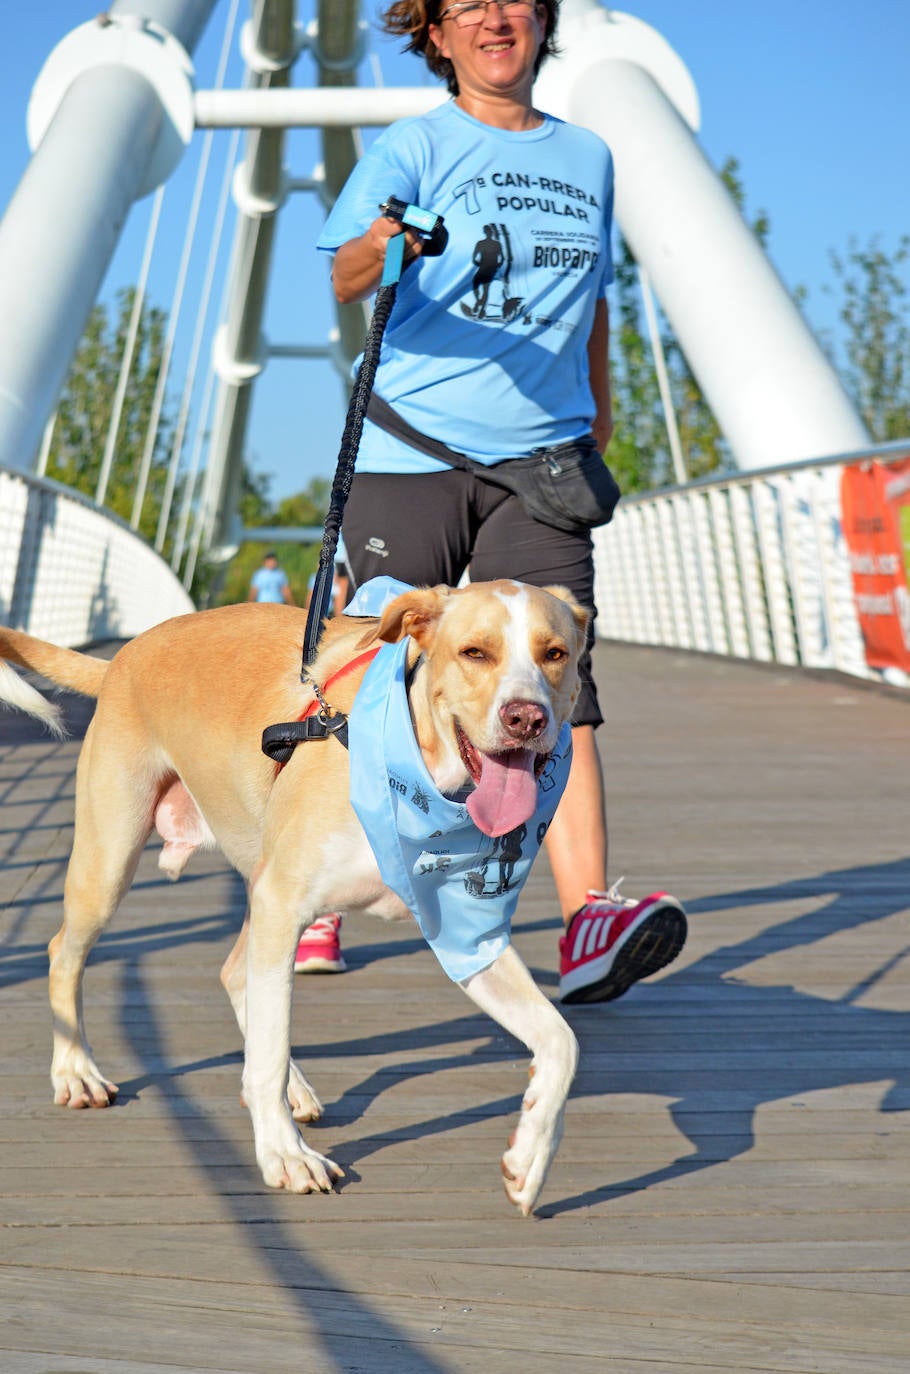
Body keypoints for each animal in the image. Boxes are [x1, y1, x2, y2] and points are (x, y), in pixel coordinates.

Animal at [0, 579, 591, 1214]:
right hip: (113, 862)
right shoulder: (282, 904)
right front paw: (285, 1155)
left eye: (555, 654)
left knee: (236, 973)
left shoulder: (469, 935)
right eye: (474, 653)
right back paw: (75, 1071)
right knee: (66, 952)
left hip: (255, 881)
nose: (526, 717)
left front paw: (531, 1156)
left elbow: (562, 1040)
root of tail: (122, 659)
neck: (424, 775)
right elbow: (268, 1051)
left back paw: (295, 1086)